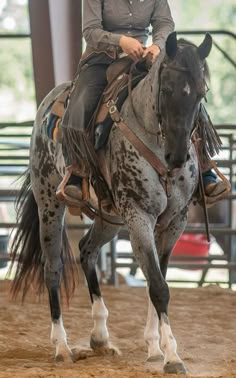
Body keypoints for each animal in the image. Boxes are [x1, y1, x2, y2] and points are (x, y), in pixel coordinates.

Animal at [8, 33, 212, 376]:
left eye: (201, 92)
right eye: (167, 90)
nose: (177, 157)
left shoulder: (175, 221)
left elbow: (156, 280)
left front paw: (154, 347)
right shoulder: (139, 215)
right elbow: (159, 287)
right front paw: (172, 356)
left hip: (109, 218)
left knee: (87, 250)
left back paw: (101, 337)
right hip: (50, 202)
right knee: (53, 268)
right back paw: (61, 347)